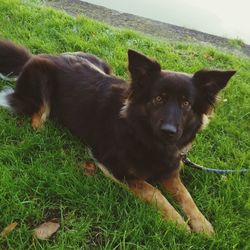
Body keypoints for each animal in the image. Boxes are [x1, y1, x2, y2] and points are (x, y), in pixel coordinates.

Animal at [0, 39, 236, 234]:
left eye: (186, 103)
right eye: (158, 99)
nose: (169, 131)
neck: (144, 135)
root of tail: (38, 56)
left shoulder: (170, 170)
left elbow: (186, 195)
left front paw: (202, 223)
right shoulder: (113, 165)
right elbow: (153, 191)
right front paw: (179, 223)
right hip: (41, 78)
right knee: (37, 115)